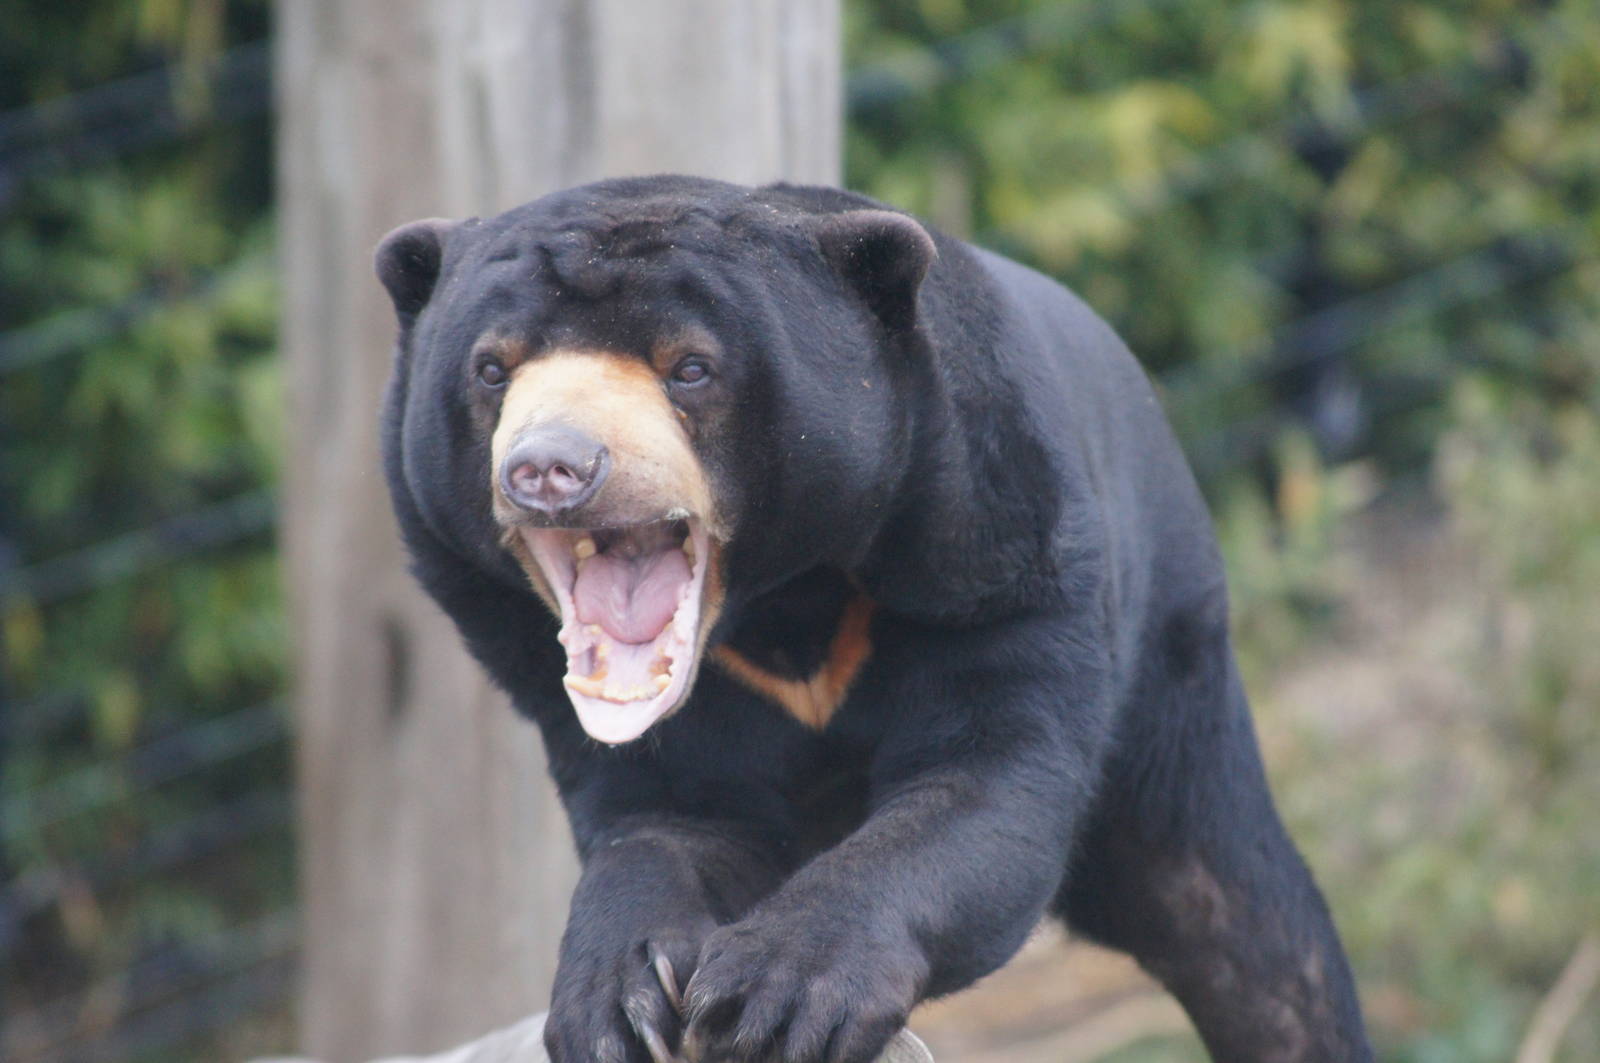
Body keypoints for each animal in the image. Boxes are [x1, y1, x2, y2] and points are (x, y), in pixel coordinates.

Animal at [374, 175, 1373, 1063]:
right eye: (492, 370)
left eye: (690, 367)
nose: (551, 468)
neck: (775, 601)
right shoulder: (545, 668)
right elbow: (665, 821)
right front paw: (619, 1002)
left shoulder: (993, 548)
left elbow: (981, 781)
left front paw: (774, 993)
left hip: (1171, 665)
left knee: (1242, 932)